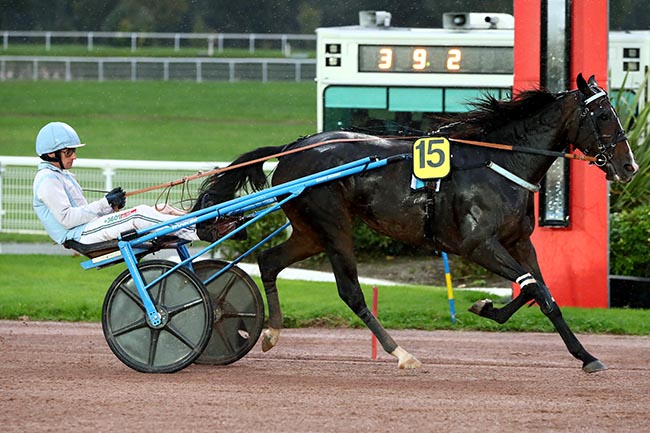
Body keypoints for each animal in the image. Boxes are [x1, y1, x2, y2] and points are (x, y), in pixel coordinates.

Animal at [194, 74, 636, 372]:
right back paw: (400, 352)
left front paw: (584, 354)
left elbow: (541, 293)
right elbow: (537, 291)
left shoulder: (519, 242)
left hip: (309, 231)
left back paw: (271, 331)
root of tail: (293, 146)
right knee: (351, 291)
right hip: (334, 226)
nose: (629, 166)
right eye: (602, 114)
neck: (500, 162)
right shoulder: (478, 245)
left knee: (269, 261)